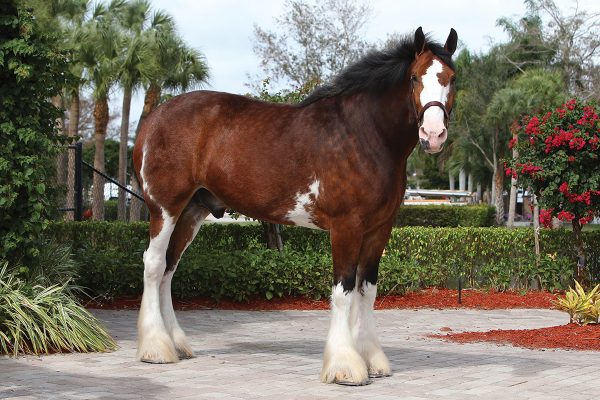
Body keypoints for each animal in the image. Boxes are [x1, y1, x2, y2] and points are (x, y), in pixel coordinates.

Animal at [134, 25, 458, 384]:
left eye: (452, 78)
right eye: (414, 78)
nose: (433, 134)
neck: (365, 134)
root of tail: (154, 118)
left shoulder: (379, 229)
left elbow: (366, 290)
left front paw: (372, 358)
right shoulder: (346, 226)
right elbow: (344, 290)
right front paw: (345, 365)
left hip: (192, 212)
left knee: (169, 268)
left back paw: (175, 344)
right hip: (165, 209)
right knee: (153, 265)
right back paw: (155, 348)